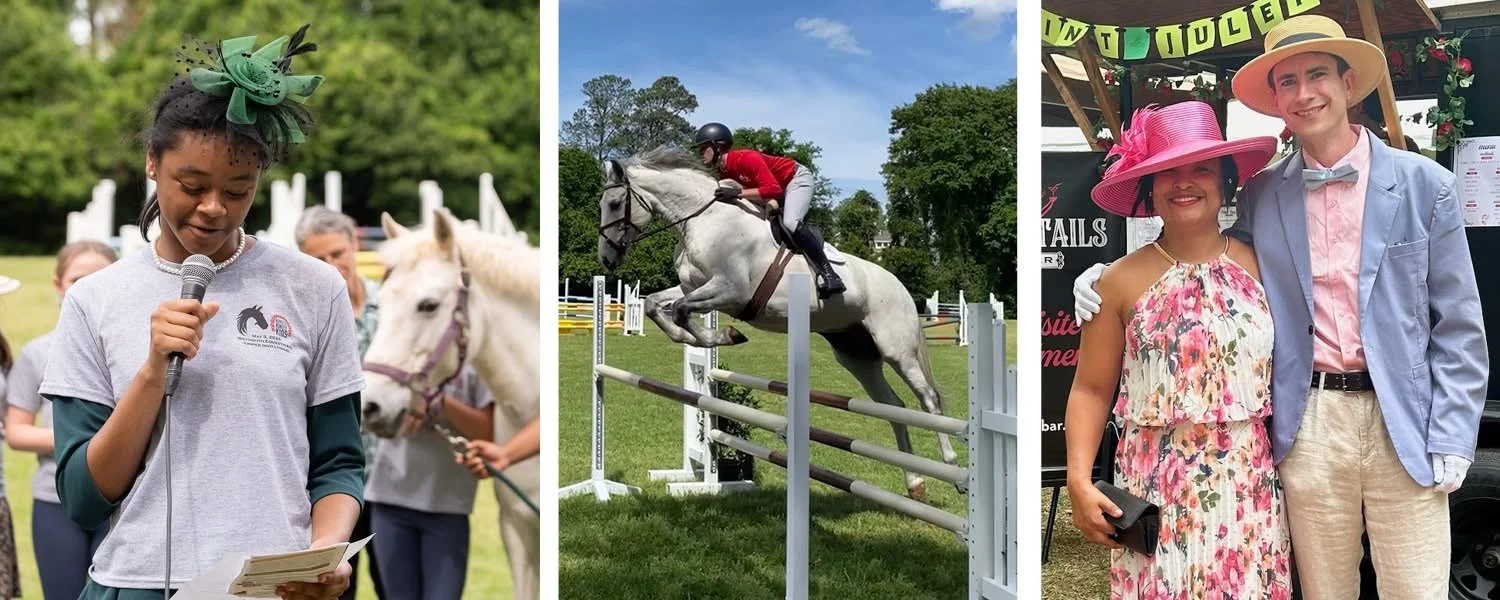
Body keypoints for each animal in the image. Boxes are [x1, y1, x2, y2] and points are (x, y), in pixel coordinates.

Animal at [596, 146, 958, 500]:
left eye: (614, 204)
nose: (606, 259)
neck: (705, 220)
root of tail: (900, 286)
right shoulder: (692, 287)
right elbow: (655, 306)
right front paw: (700, 338)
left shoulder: (729, 291)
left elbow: (683, 310)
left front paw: (723, 335)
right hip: (856, 355)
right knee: (893, 406)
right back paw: (915, 482)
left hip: (897, 347)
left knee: (928, 399)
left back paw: (953, 470)